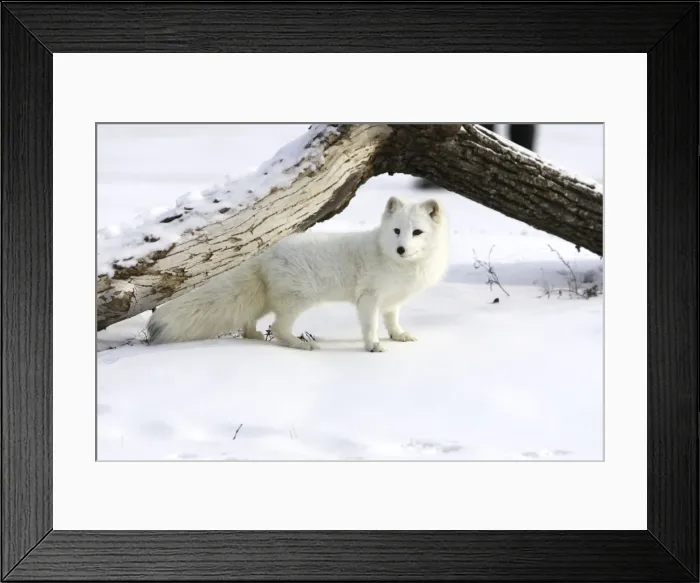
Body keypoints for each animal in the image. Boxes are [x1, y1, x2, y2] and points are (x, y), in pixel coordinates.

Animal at [147, 195, 450, 352]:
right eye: (397, 230)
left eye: (417, 232)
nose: (401, 249)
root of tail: (264, 255)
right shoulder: (368, 298)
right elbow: (371, 325)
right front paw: (373, 346)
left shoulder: (391, 300)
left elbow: (392, 321)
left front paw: (399, 336)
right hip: (297, 300)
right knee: (279, 328)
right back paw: (302, 345)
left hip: (268, 301)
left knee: (248, 322)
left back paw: (254, 338)